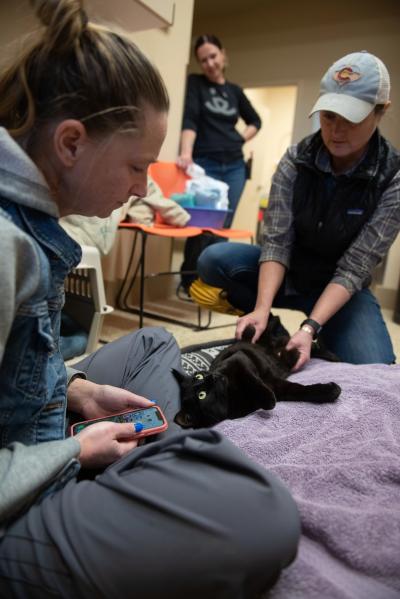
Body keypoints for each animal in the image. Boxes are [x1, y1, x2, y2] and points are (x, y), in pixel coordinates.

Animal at [175, 316, 340, 428]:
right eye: (201, 395)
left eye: (199, 375)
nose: (211, 376)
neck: (231, 394)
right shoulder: (279, 389)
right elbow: (298, 391)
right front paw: (331, 391)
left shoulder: (239, 358)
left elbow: (254, 379)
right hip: (288, 359)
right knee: (303, 349)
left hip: (284, 352)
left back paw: (333, 356)